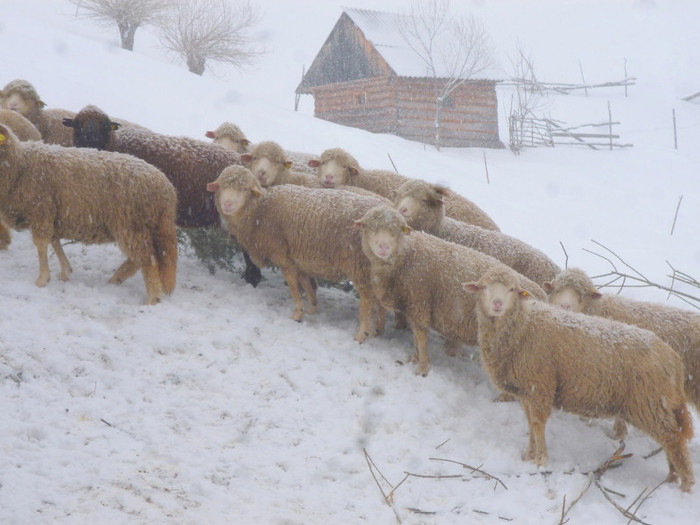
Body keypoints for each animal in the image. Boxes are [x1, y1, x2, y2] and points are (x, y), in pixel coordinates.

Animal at [0, 123, 178, 302]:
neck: (20, 165)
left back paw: (153, 299)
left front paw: (42, 279)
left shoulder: (41, 209)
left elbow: (42, 244)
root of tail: (166, 188)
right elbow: (54, 240)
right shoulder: (52, 213)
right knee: (139, 259)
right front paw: (65, 271)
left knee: (148, 260)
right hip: (139, 227)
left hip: (131, 225)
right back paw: (117, 278)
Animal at [356, 203, 548, 374]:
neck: (406, 256)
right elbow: (416, 336)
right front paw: (415, 359)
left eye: (397, 231)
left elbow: (420, 336)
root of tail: (543, 295)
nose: (383, 247)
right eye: (370, 228)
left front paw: (422, 367)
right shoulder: (413, 305)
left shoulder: (420, 301)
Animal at [464, 266, 696, 492]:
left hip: (649, 403)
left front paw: (541, 462)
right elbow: (530, 424)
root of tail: (673, 359)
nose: (497, 303)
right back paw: (671, 477)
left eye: (512, 289)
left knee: (674, 440)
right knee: (671, 439)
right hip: (657, 404)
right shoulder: (526, 392)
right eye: (484, 287)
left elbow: (538, 425)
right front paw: (529, 455)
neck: (523, 326)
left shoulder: (540, 386)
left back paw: (685, 484)